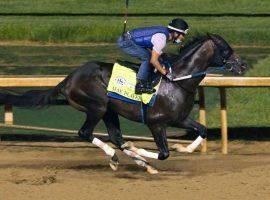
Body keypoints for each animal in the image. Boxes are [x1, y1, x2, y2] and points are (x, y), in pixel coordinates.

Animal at [0, 33, 247, 173]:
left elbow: (202, 130)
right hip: (97, 106)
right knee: (86, 133)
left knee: (117, 137)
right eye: (225, 49)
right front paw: (143, 149)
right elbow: (163, 153)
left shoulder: (180, 118)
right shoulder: (156, 123)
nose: (243, 65)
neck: (177, 79)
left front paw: (181, 147)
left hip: (109, 111)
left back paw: (139, 162)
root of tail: (67, 79)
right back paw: (115, 156)